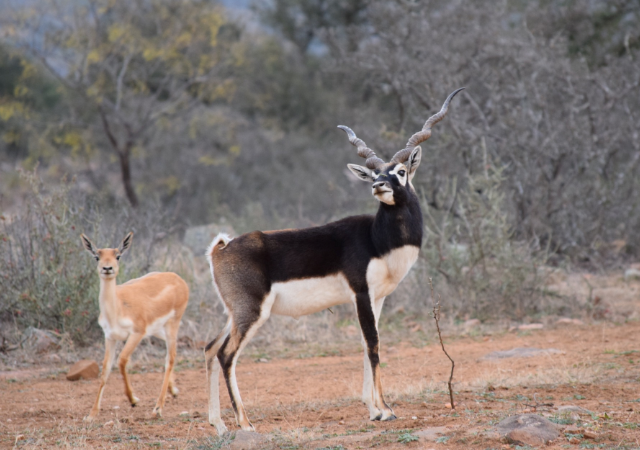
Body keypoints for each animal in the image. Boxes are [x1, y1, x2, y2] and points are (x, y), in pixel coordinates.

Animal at [81, 234, 189, 420]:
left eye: (118, 256)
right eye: (97, 256)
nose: (107, 268)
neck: (118, 307)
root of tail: (179, 279)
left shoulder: (137, 333)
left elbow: (122, 361)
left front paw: (133, 400)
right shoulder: (110, 337)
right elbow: (105, 370)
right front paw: (92, 414)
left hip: (171, 325)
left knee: (170, 358)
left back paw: (157, 409)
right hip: (156, 330)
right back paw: (174, 391)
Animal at [205, 86, 464, 434]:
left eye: (400, 171)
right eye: (375, 173)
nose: (378, 185)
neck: (376, 239)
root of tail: (221, 248)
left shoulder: (377, 298)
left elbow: (368, 344)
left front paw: (374, 409)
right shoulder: (361, 293)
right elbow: (373, 344)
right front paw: (386, 410)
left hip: (233, 312)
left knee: (209, 348)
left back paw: (218, 424)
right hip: (251, 312)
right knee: (226, 354)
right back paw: (245, 424)